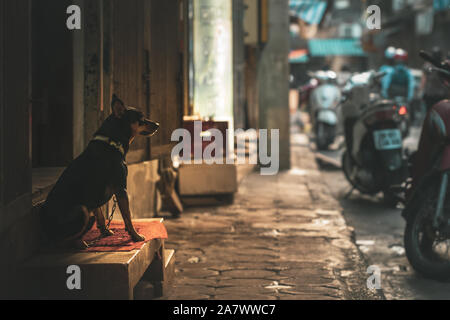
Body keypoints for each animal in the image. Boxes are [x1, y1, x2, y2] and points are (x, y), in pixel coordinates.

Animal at [40, 94, 160, 249]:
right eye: (141, 118)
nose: (157, 124)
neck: (112, 143)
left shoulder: (95, 196)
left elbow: (101, 215)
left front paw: (105, 231)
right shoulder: (121, 189)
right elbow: (128, 216)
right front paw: (135, 236)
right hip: (81, 210)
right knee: (57, 242)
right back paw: (79, 242)